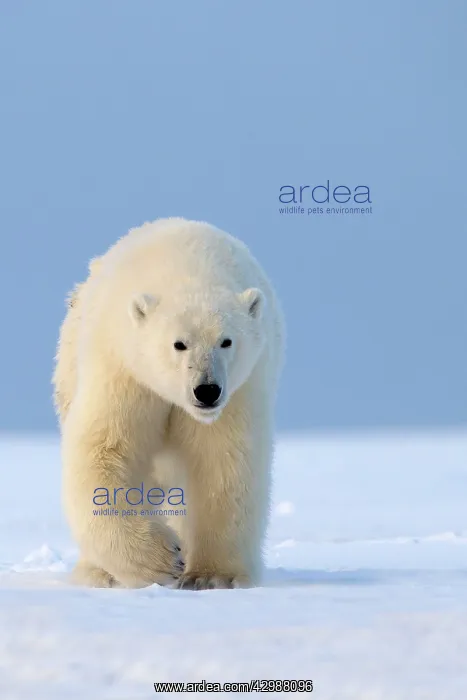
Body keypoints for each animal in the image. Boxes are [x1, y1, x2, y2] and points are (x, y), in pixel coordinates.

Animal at [53, 217, 285, 590]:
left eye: (226, 341)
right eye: (179, 343)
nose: (207, 390)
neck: (188, 268)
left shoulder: (241, 390)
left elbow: (223, 463)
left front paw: (213, 576)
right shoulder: (124, 370)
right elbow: (104, 450)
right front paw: (162, 558)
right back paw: (98, 572)